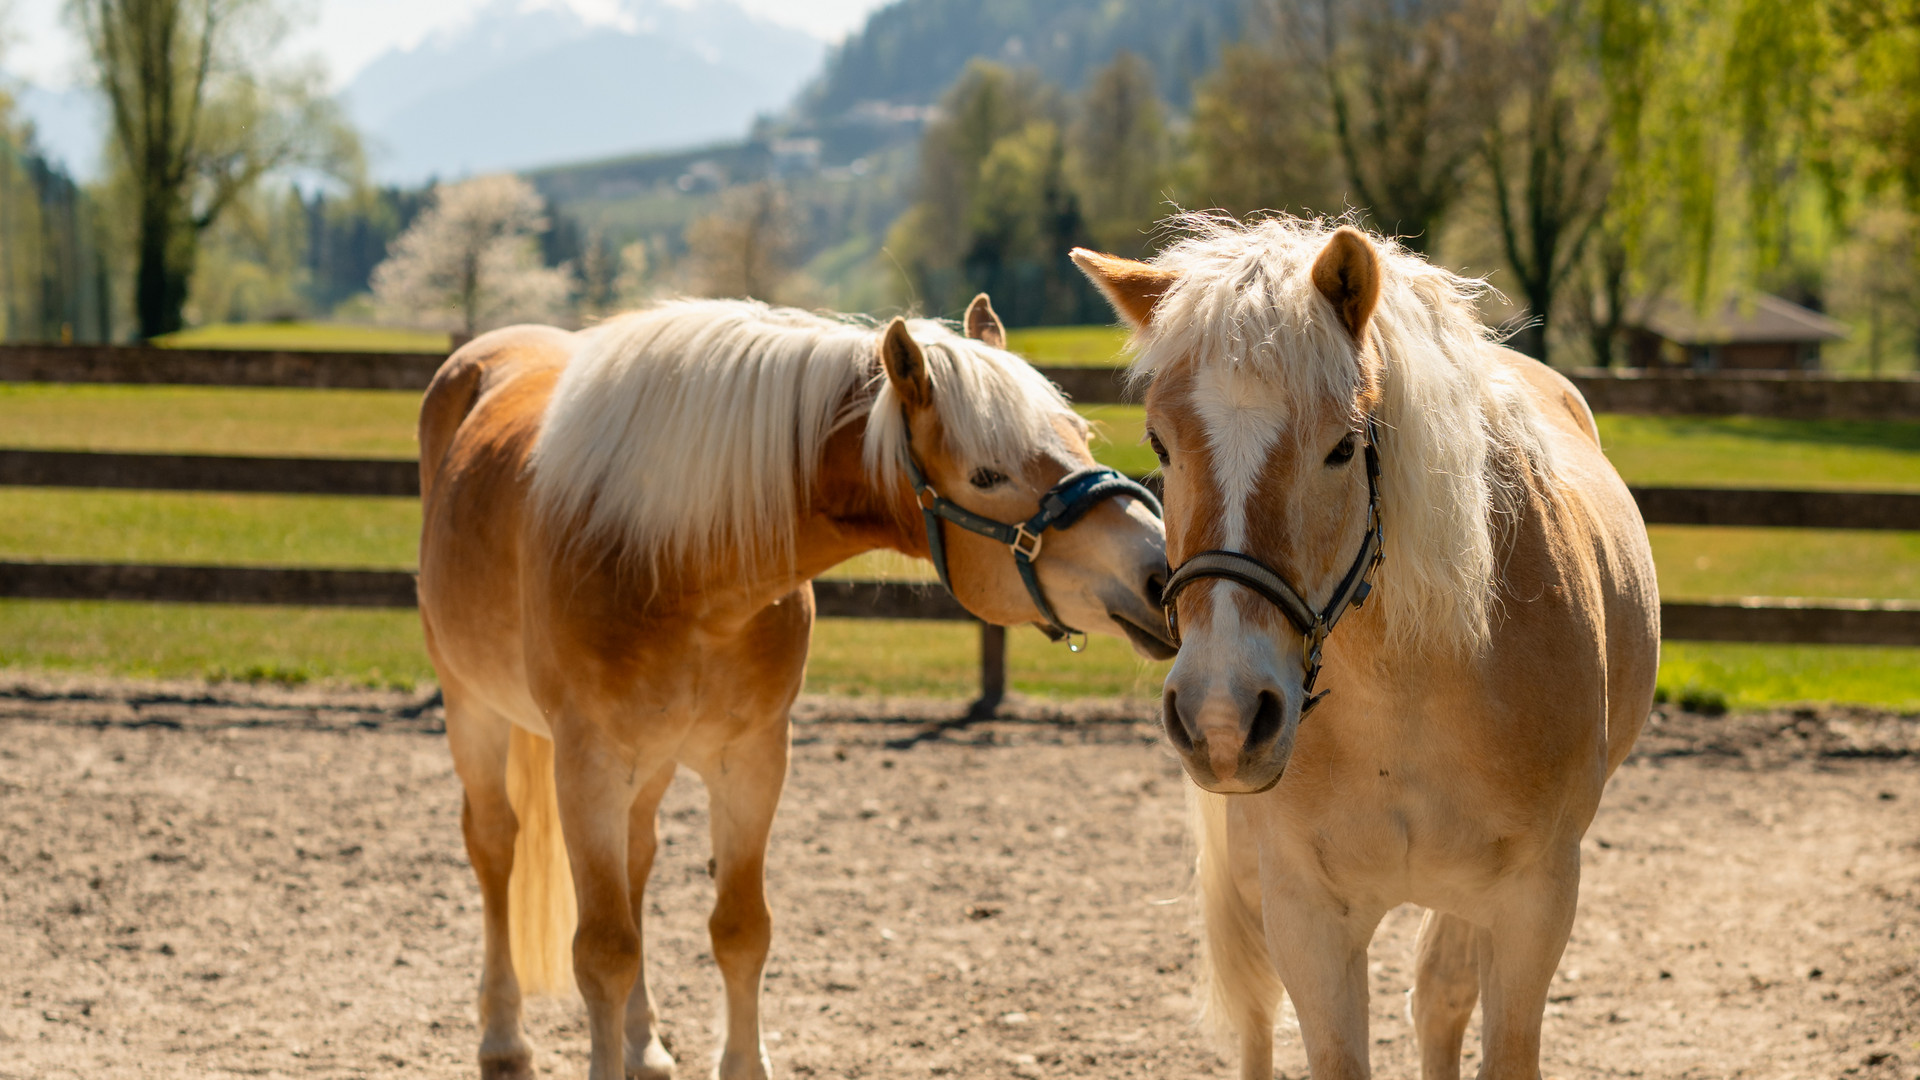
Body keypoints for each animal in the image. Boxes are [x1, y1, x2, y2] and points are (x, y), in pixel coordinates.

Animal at [415, 294, 1174, 1080]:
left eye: (1080, 437)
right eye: (989, 476)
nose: (1160, 571)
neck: (674, 563)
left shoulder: (752, 759)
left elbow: (740, 930)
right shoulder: (588, 766)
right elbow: (603, 950)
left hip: (649, 765)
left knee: (637, 859)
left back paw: (645, 1045)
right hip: (472, 707)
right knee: (495, 846)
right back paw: (504, 1040)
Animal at [1073, 217, 1659, 1080]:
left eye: (1343, 448)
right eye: (1160, 442)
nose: (1222, 712)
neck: (1404, 693)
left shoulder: (1534, 901)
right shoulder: (1306, 915)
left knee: (1439, 998)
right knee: (1256, 1012)